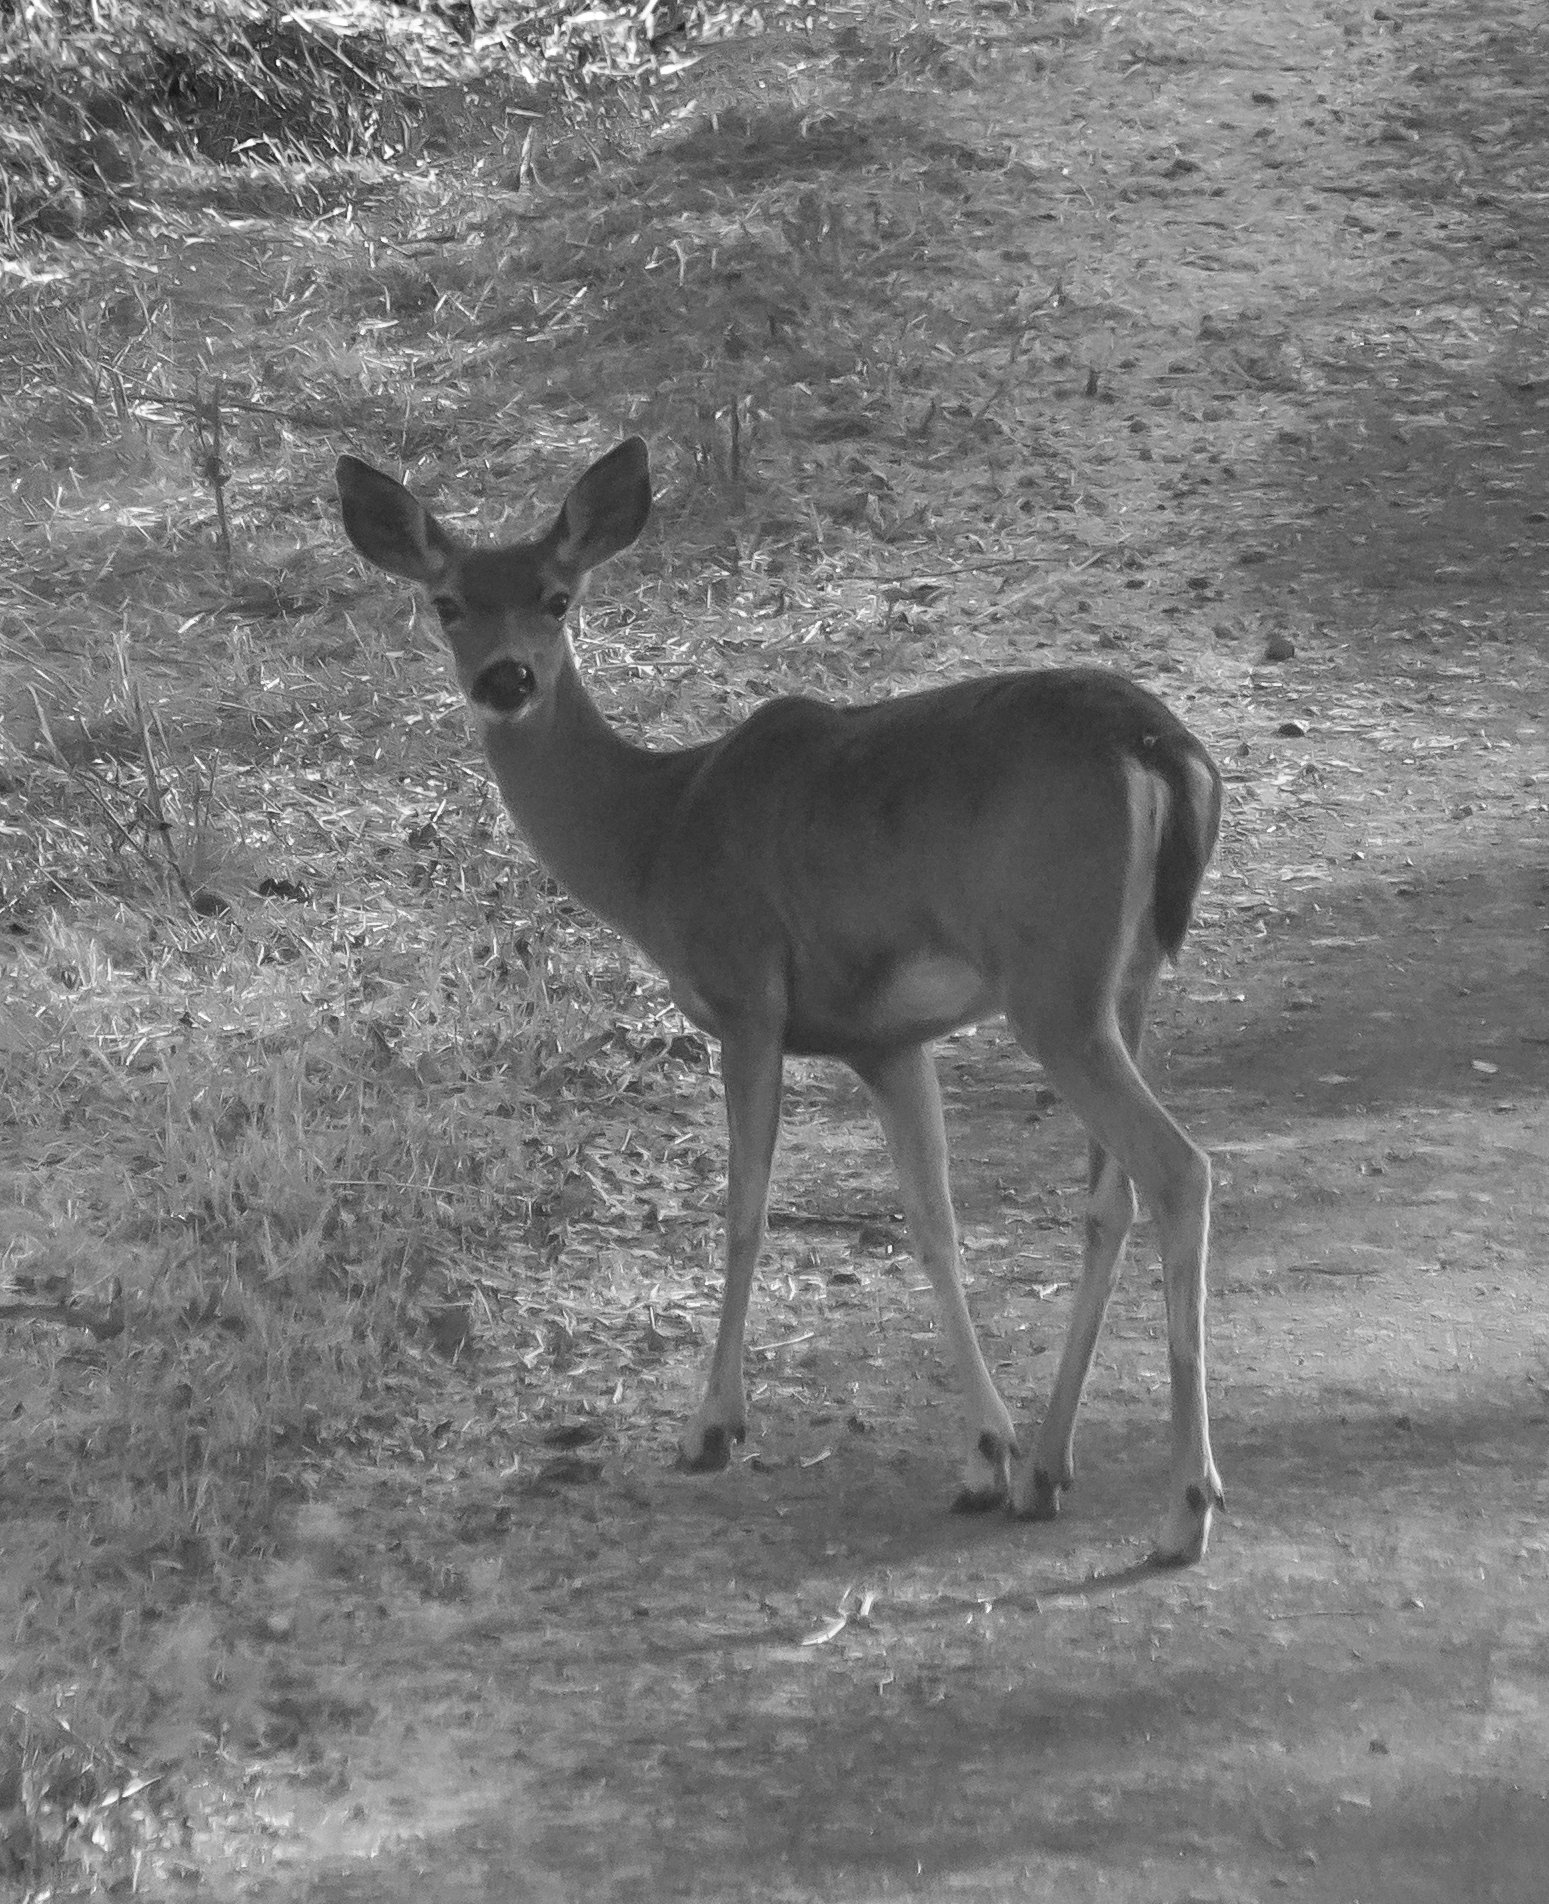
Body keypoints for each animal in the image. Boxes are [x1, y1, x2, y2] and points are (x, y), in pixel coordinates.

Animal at [336, 437, 1225, 1568]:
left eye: (556, 595)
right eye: (447, 602)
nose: (506, 678)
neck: (657, 836)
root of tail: (1165, 749)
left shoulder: (746, 991)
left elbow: (746, 1210)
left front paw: (711, 1425)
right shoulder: (886, 1039)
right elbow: (933, 1224)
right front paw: (986, 1452)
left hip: (1053, 981)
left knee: (1179, 1169)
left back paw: (1184, 1507)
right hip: (1124, 981)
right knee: (1111, 1197)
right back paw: (1049, 1470)